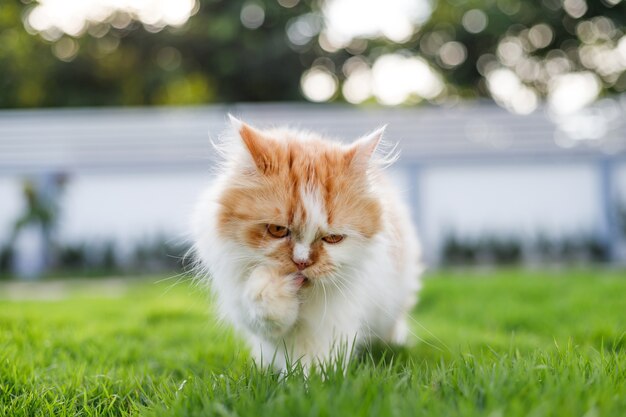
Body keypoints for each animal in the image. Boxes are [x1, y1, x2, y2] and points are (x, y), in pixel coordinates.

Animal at [193, 114, 422, 370]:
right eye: (277, 230)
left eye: (333, 238)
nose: (302, 262)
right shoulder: (240, 300)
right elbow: (262, 309)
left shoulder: (333, 321)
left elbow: (318, 362)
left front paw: (311, 377)